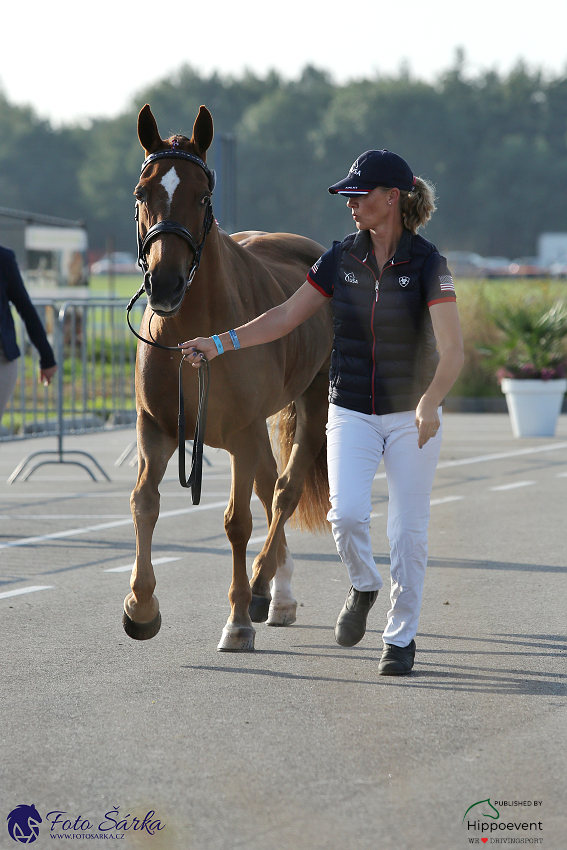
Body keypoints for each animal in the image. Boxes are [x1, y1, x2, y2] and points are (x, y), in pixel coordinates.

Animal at [125, 106, 332, 648]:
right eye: (142, 193)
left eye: (202, 195)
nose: (165, 283)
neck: (190, 336)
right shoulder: (156, 429)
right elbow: (145, 504)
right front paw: (141, 606)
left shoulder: (240, 434)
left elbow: (237, 522)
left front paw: (238, 619)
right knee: (269, 487)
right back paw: (278, 594)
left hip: (311, 404)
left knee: (284, 491)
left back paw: (261, 588)